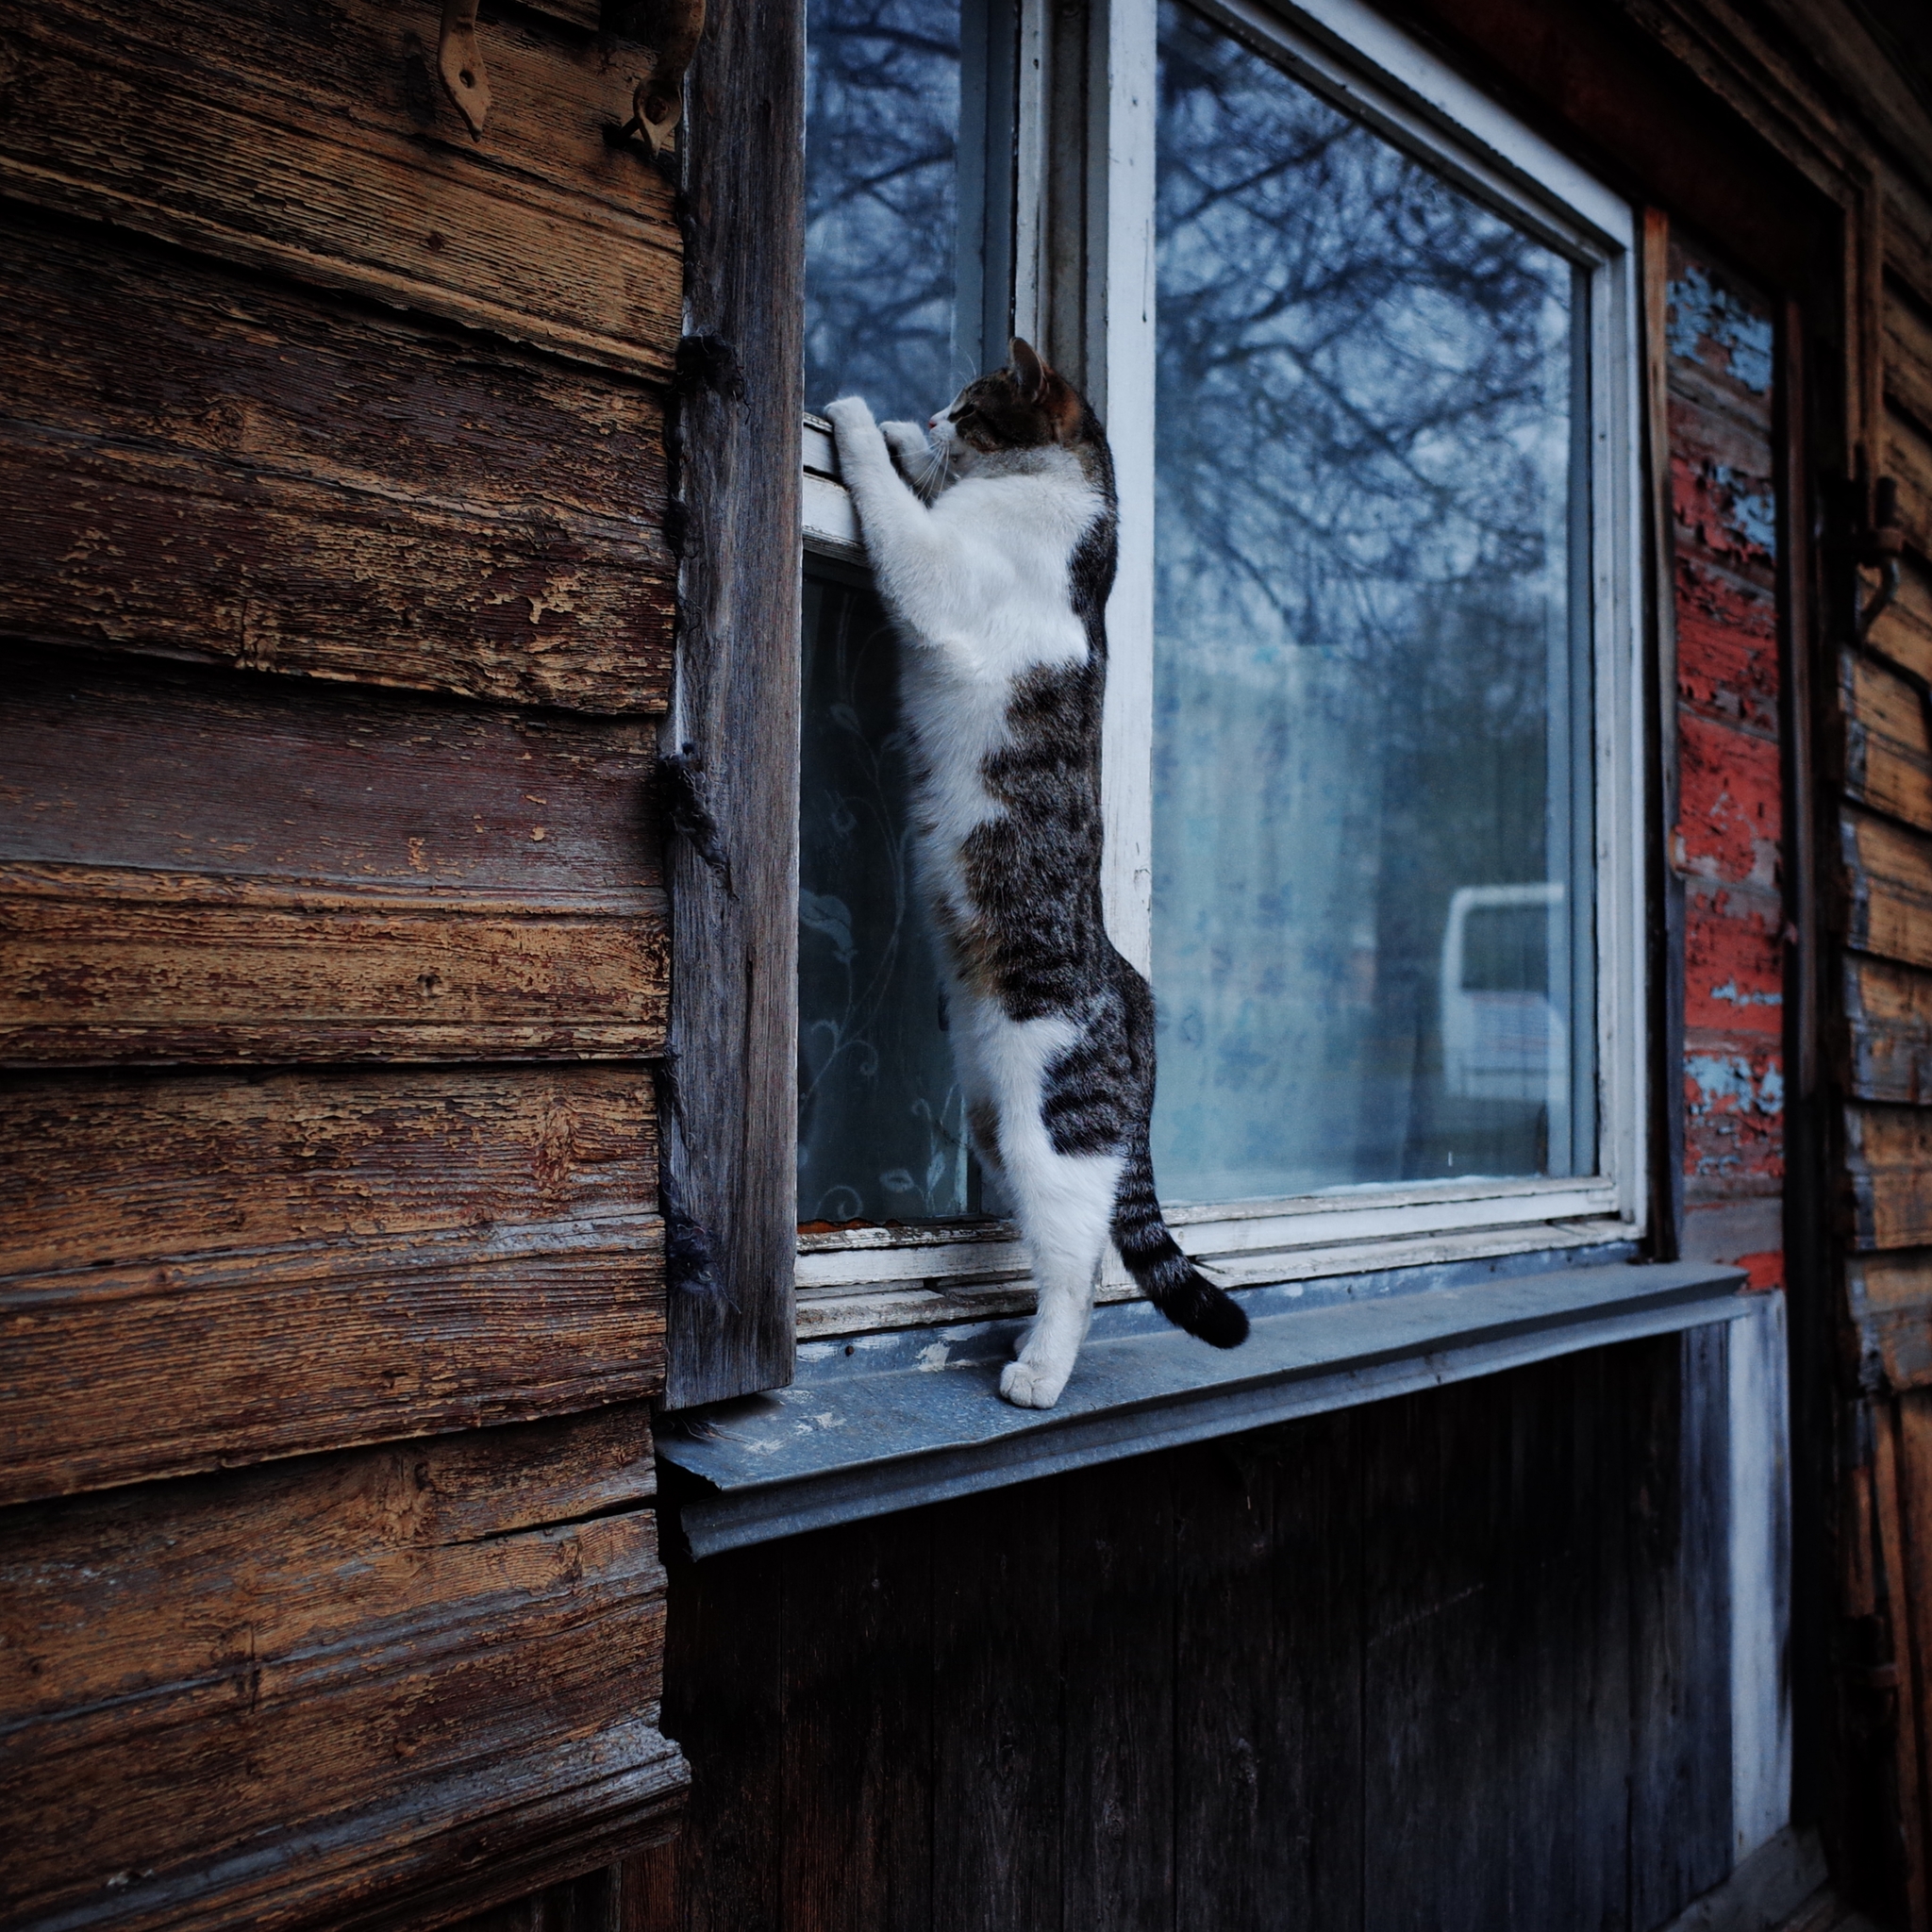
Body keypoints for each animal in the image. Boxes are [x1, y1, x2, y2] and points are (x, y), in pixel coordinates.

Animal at [819, 340, 1243, 1414]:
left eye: (973, 403)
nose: (933, 412)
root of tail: (1130, 991)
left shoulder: (940, 573)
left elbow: (895, 509)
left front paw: (861, 421)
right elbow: (917, 486)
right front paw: (899, 435)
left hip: (1048, 1134)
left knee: (1078, 1266)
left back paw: (1038, 1373)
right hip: (988, 1123)